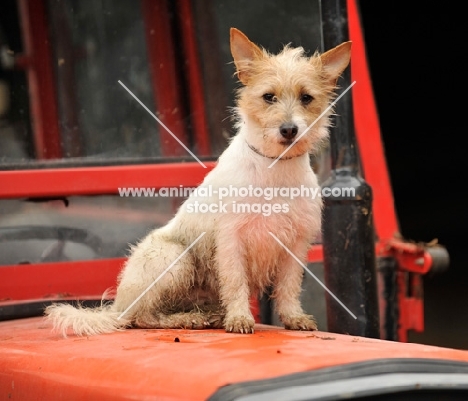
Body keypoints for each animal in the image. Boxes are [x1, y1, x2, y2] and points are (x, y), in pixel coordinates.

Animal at [44, 27, 352, 334]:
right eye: (268, 97)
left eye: (307, 98)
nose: (289, 130)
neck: (274, 167)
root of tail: (118, 307)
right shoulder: (231, 240)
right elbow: (236, 283)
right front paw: (239, 318)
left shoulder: (295, 245)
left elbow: (289, 287)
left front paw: (293, 317)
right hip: (173, 257)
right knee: (143, 317)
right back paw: (186, 319)